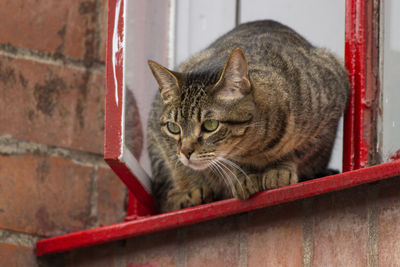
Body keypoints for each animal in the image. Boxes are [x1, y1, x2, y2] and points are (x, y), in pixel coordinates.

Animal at [147, 20, 350, 214]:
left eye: (210, 125)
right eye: (173, 127)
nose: (186, 151)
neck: (256, 149)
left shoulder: (329, 114)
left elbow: (297, 150)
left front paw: (279, 169)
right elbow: (228, 163)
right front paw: (244, 176)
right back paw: (190, 194)